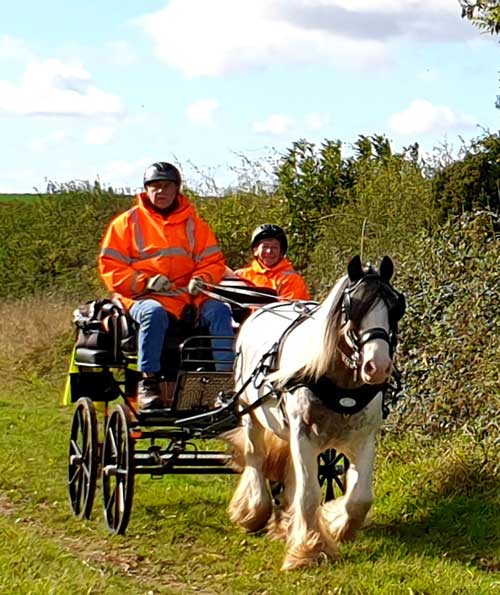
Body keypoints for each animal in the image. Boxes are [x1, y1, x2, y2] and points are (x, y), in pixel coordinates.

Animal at [225, 256, 404, 572]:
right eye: (353, 308)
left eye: (395, 308)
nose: (378, 367)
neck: (339, 383)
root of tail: (264, 309)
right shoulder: (303, 435)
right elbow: (309, 495)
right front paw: (309, 550)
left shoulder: (363, 438)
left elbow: (360, 498)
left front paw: (336, 525)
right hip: (251, 415)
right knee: (256, 458)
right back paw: (253, 512)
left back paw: (285, 522)